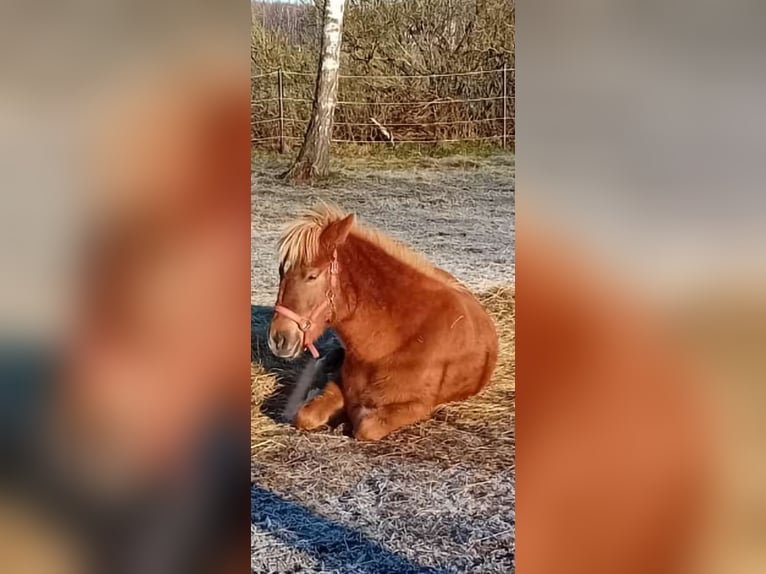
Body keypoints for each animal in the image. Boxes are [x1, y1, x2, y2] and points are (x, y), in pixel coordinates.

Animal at [268, 205, 500, 444]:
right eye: (281, 272)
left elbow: (366, 426)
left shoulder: (417, 406)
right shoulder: (340, 382)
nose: (278, 339)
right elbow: (306, 415)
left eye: (312, 276)